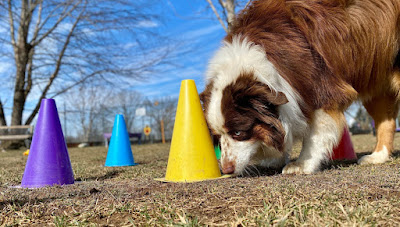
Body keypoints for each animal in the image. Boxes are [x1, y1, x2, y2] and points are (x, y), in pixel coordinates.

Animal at [200, 0, 400, 176]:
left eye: (238, 132)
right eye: (217, 136)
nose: (227, 170)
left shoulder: (320, 83)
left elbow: (316, 130)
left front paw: (301, 164)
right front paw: (274, 158)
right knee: (386, 121)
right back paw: (377, 156)